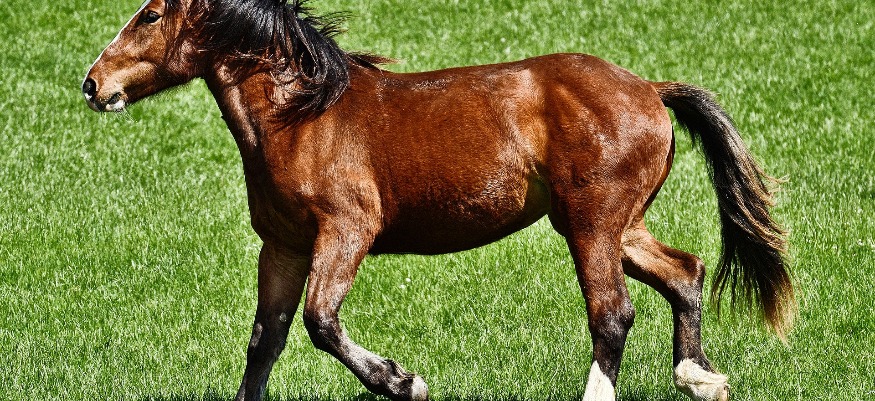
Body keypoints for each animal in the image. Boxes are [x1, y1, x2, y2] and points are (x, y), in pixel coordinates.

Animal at [82, 1, 794, 400]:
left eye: (150, 14)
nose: (93, 84)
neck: (301, 117)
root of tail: (650, 88)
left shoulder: (347, 231)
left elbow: (320, 322)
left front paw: (405, 382)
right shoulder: (282, 246)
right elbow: (266, 341)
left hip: (592, 224)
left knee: (613, 314)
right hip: (615, 225)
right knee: (686, 272)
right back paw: (702, 378)